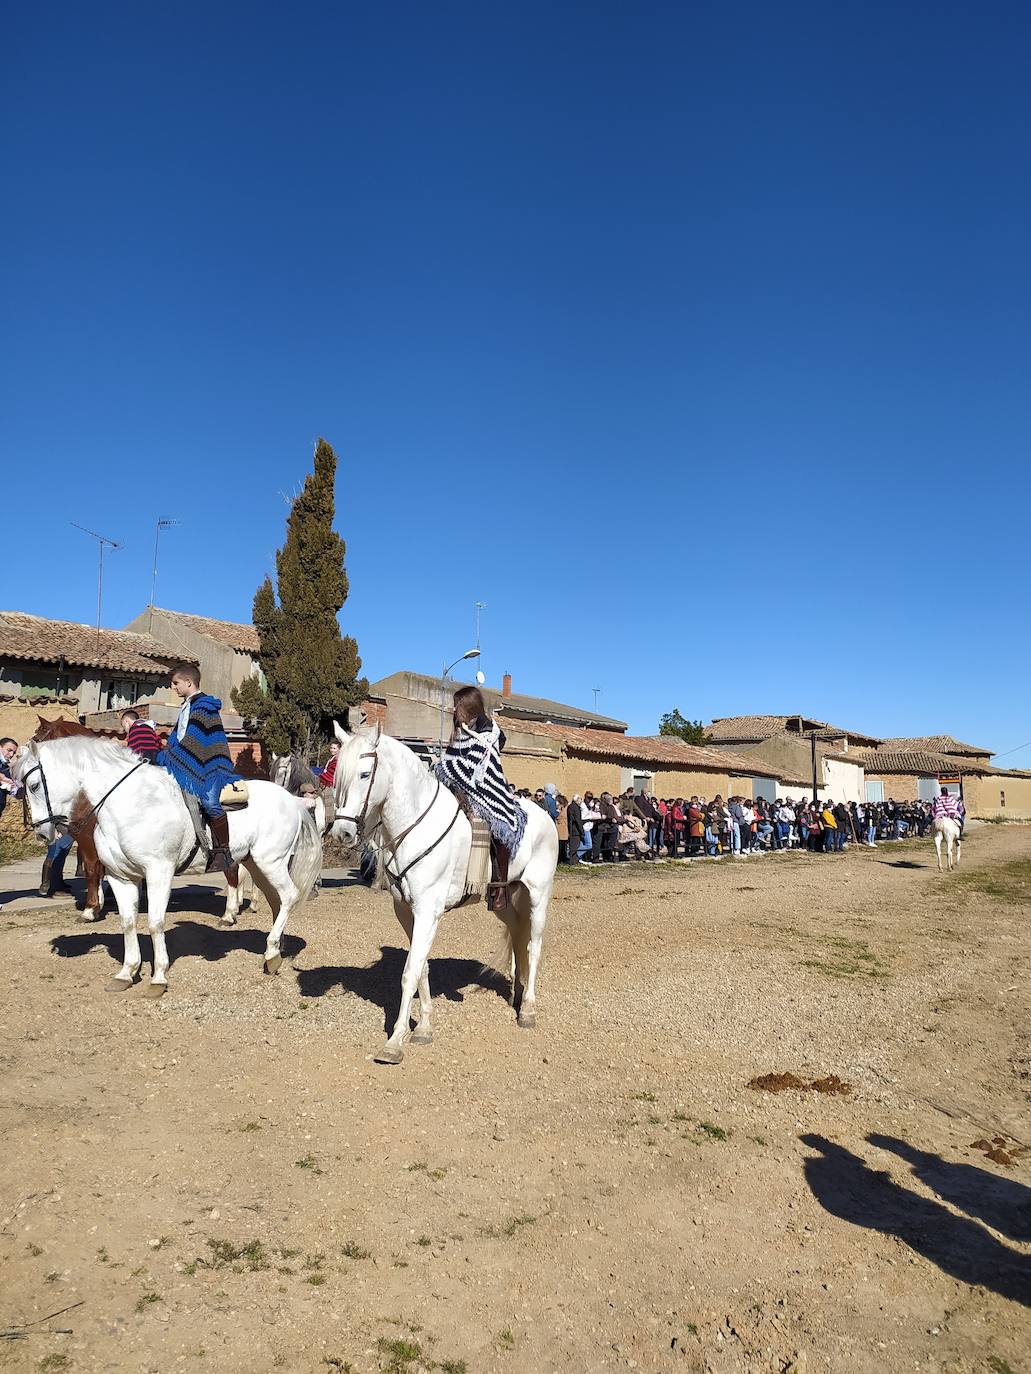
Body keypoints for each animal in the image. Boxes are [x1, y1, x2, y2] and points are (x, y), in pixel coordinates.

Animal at [16, 741, 323, 1000]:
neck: (131, 803)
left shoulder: (158, 873)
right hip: (256, 864)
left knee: (289, 896)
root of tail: (292, 801)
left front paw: (158, 978)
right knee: (276, 901)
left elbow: (155, 923)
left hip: (271, 861)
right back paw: (275, 951)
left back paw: (270, 950)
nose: (42, 833)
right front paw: (126, 972)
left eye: (34, 785)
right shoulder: (120, 877)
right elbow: (128, 922)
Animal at [328, 725, 558, 1066]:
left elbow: (410, 972)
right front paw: (423, 1027)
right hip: (503, 899)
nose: (341, 833)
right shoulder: (406, 911)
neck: (413, 828)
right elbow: (421, 966)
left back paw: (527, 1009)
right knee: (518, 936)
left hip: (538, 895)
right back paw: (515, 996)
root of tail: (545, 817)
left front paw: (395, 1042)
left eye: (365, 773)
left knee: (533, 946)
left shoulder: (427, 911)